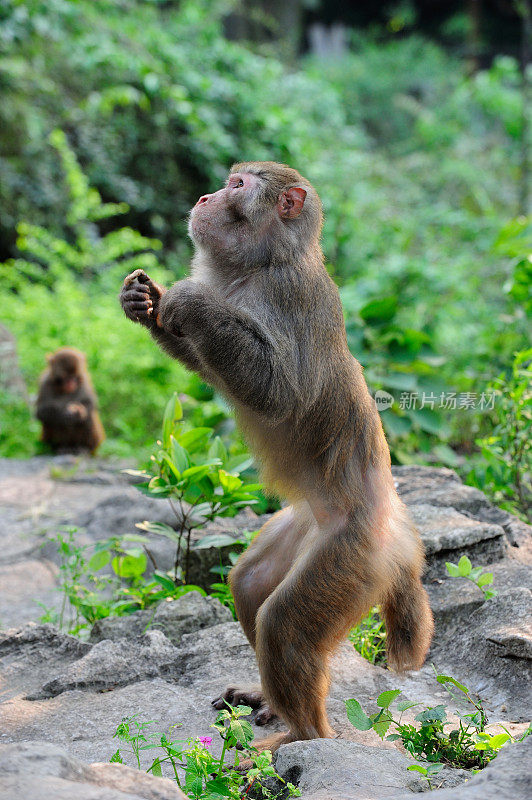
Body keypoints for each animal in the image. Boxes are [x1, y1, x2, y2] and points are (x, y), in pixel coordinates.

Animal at [118, 161, 434, 756]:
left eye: (238, 187)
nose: (205, 196)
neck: (261, 266)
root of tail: (395, 521)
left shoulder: (289, 295)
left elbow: (279, 392)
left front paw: (189, 300)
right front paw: (145, 303)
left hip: (352, 555)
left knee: (285, 624)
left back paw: (300, 738)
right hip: (304, 525)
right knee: (249, 584)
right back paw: (272, 704)